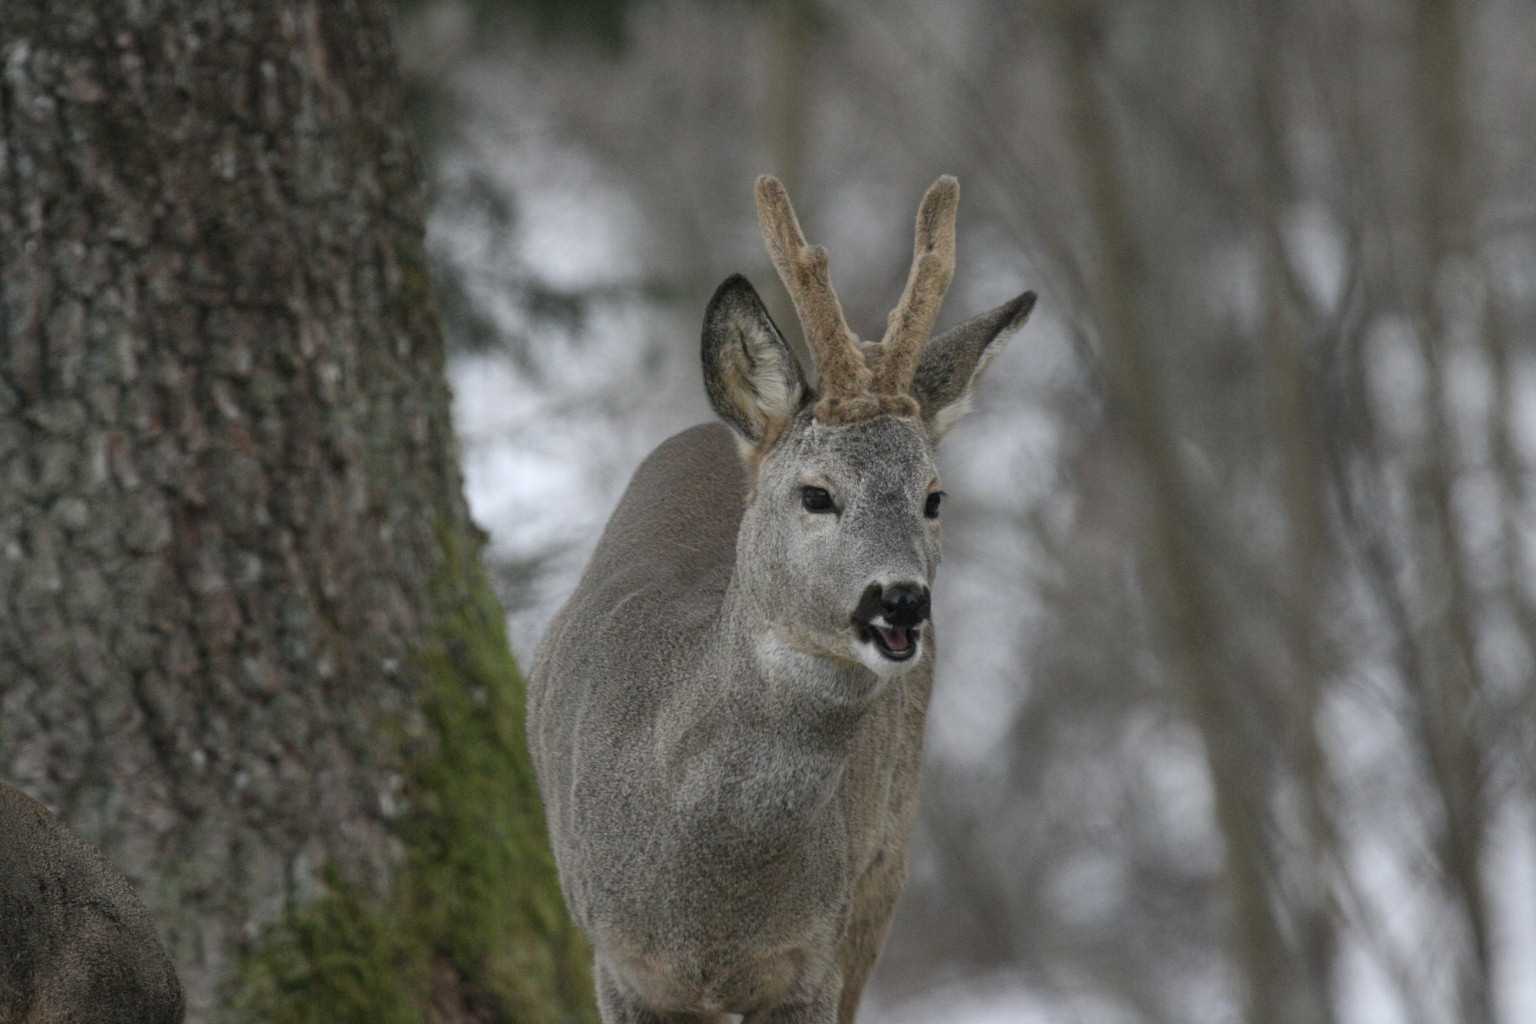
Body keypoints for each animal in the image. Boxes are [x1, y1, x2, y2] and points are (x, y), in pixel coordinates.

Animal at [528, 175, 1035, 1024]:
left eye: (934, 497)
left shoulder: (811, 960)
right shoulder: (621, 963)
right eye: (816, 493)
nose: (902, 601)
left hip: (885, 864)